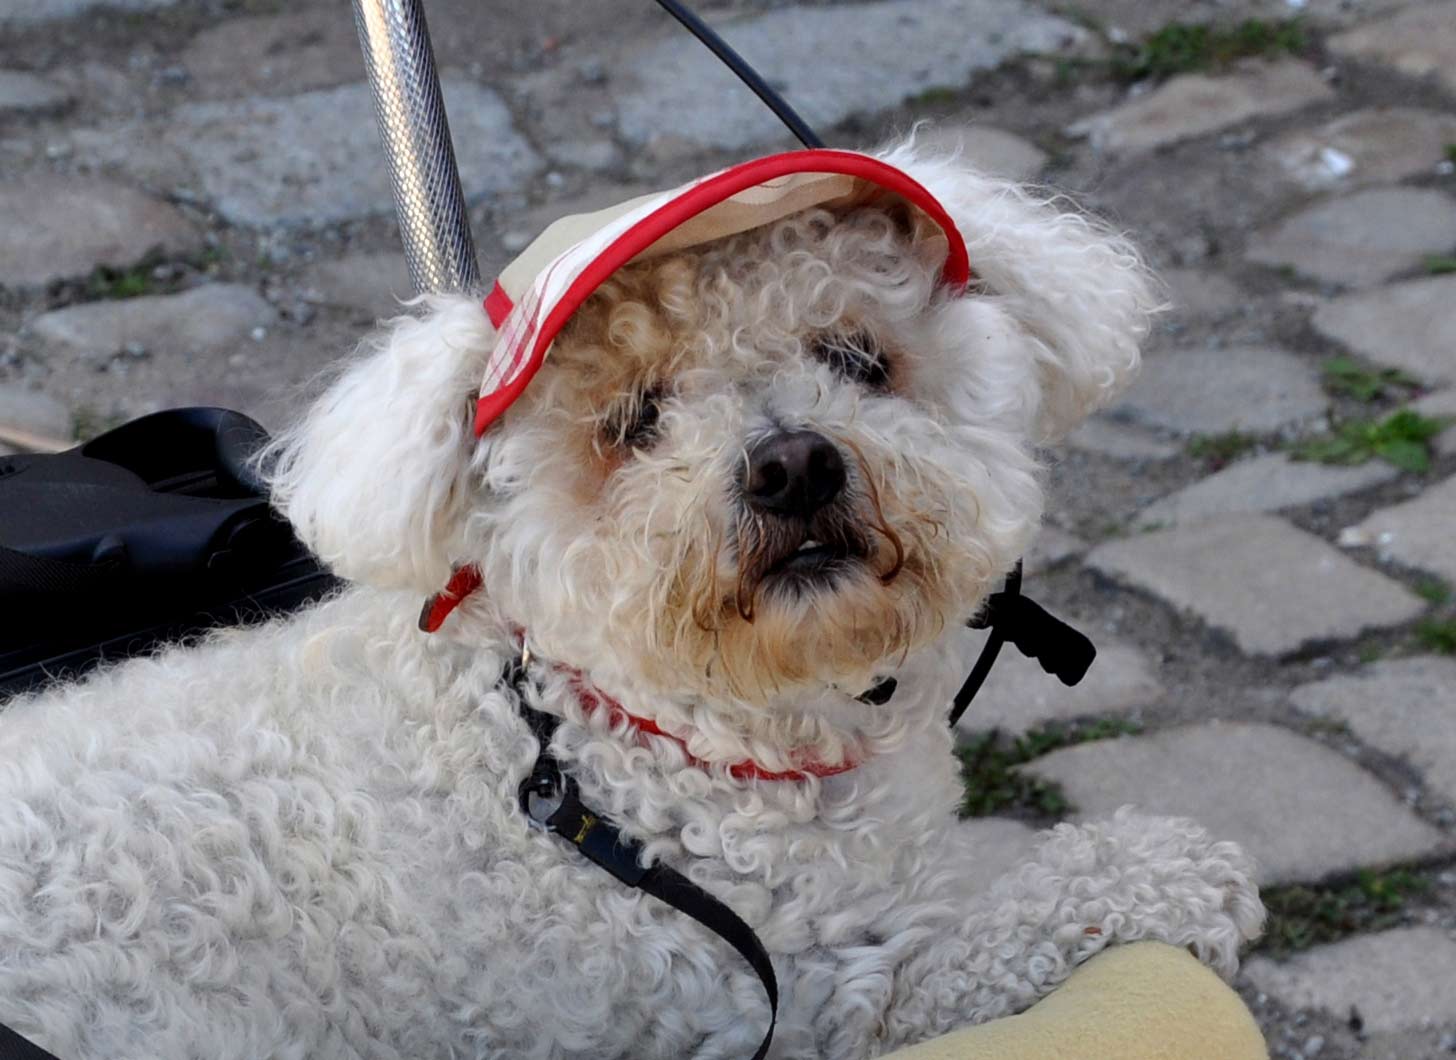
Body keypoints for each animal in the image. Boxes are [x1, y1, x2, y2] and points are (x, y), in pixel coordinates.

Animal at [0, 142, 1263, 1060]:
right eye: (633, 421)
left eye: (857, 358)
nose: (791, 465)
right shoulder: (801, 1006)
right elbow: (994, 931)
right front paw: (1157, 866)